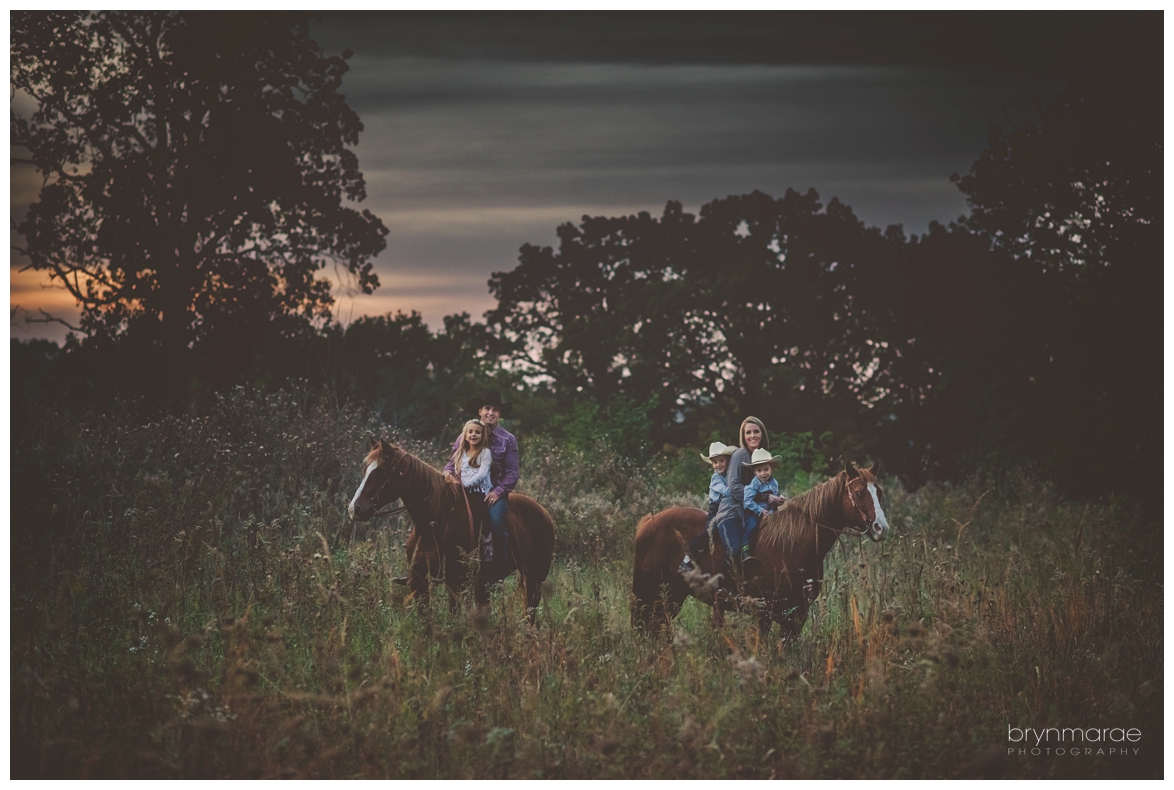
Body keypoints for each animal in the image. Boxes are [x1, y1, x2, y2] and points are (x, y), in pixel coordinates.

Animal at [345, 441, 556, 619]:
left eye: (381, 471)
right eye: (365, 469)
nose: (355, 509)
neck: (433, 523)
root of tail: (544, 513)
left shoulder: (455, 583)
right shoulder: (419, 583)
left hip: (534, 577)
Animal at [633, 462, 887, 633]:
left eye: (880, 492)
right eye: (859, 493)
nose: (881, 527)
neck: (793, 546)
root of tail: (648, 522)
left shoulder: (797, 615)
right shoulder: (765, 612)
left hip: (671, 597)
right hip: (652, 595)